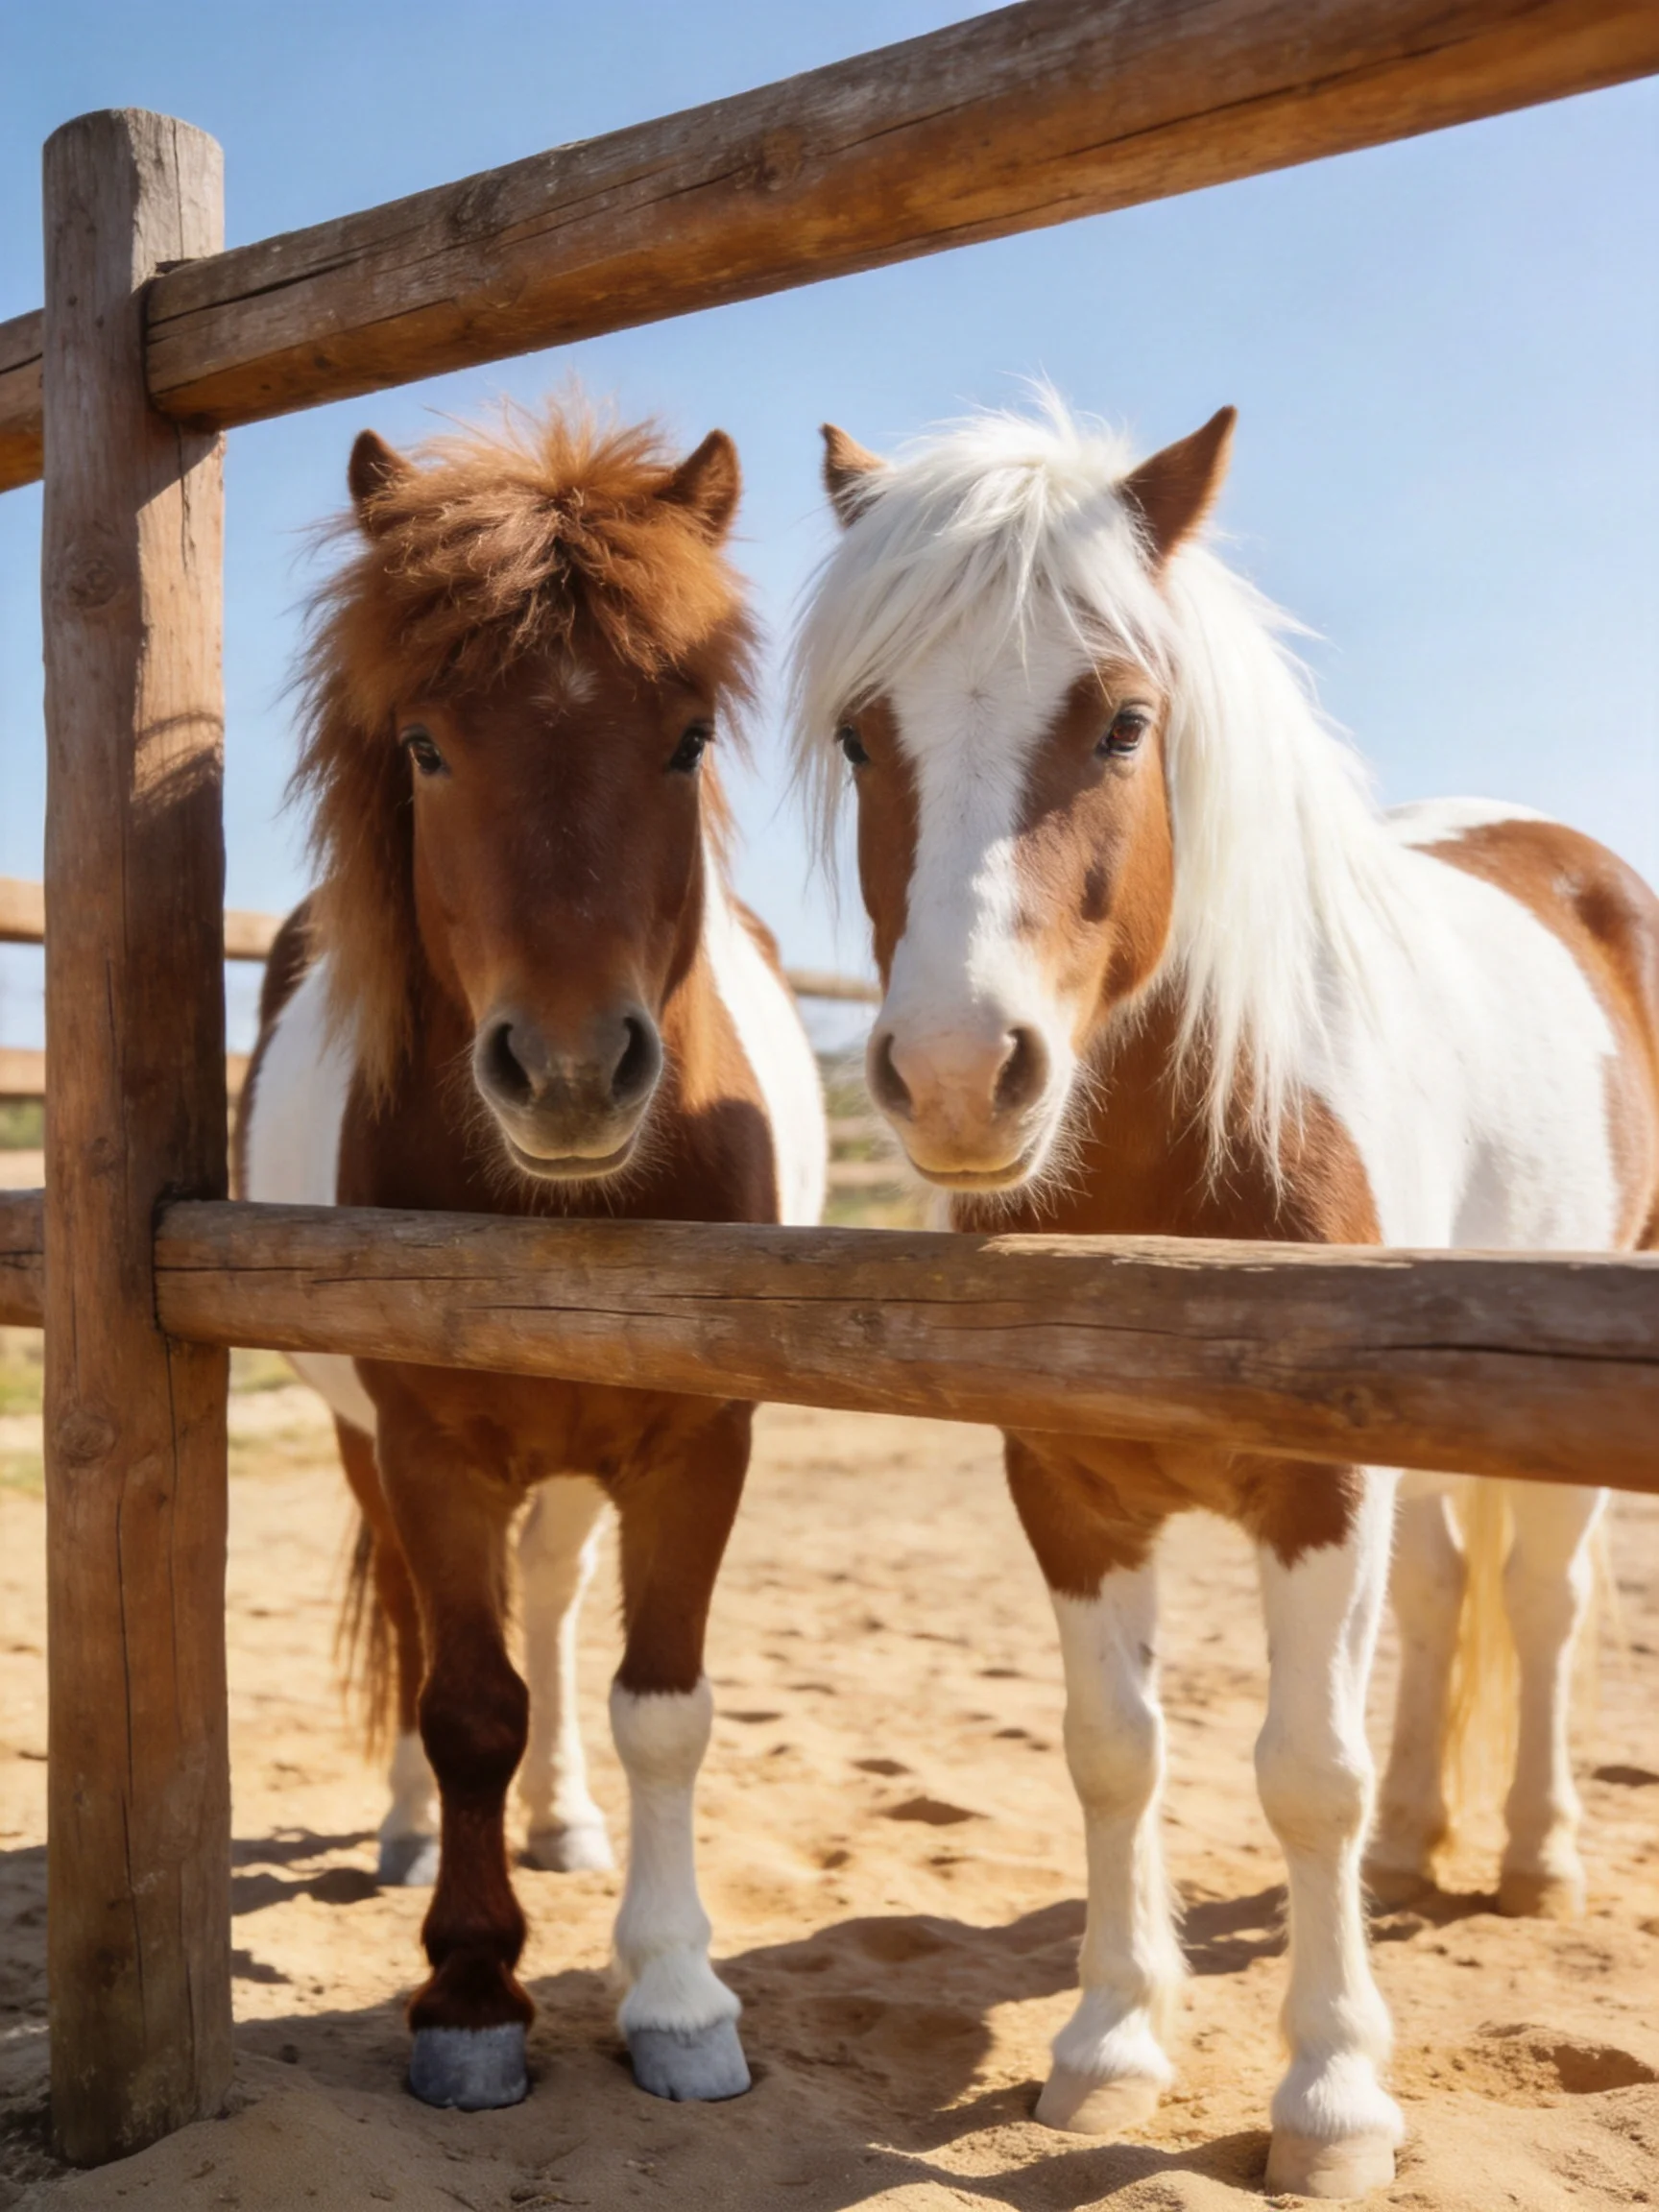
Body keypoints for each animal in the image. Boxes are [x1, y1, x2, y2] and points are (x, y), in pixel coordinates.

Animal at [235, 401, 827, 2113]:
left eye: (687, 738)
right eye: (428, 745)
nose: (568, 1074)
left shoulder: (700, 1437)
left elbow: (664, 1710)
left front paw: (677, 1994)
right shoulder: (426, 1442)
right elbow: (462, 1702)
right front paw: (470, 1994)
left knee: (556, 1604)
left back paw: (566, 1823)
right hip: (374, 1444)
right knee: (432, 1630)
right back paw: (404, 1831)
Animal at [790, 397, 1658, 2199]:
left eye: (1125, 719)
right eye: (858, 735)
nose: (958, 1075)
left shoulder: (1318, 1483)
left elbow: (1303, 1774)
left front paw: (1330, 2097)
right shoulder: (1062, 1486)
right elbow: (1112, 1749)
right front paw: (1108, 2044)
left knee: (1540, 1600)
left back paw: (1532, 1855)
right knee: (1441, 1600)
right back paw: (1422, 1842)